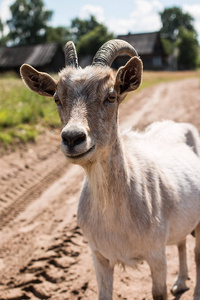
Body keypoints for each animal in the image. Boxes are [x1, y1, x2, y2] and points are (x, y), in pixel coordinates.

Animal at [20, 39, 200, 300]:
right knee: (181, 242)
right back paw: (180, 282)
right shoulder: (99, 256)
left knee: (196, 252)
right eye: (56, 98)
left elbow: (159, 292)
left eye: (111, 96)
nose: (72, 137)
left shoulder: (156, 253)